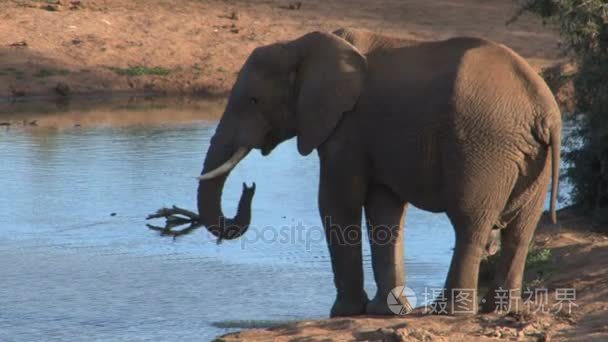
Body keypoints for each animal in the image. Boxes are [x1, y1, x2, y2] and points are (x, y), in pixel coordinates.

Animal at [196, 28, 560, 316]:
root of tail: (544, 112)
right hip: (527, 156)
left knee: (469, 221)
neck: (298, 45)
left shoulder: (347, 126)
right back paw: (499, 310)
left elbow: (337, 203)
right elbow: (384, 210)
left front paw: (344, 313)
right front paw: (385, 311)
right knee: (521, 230)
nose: (249, 187)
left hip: (484, 146)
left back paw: (449, 312)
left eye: (254, 101)